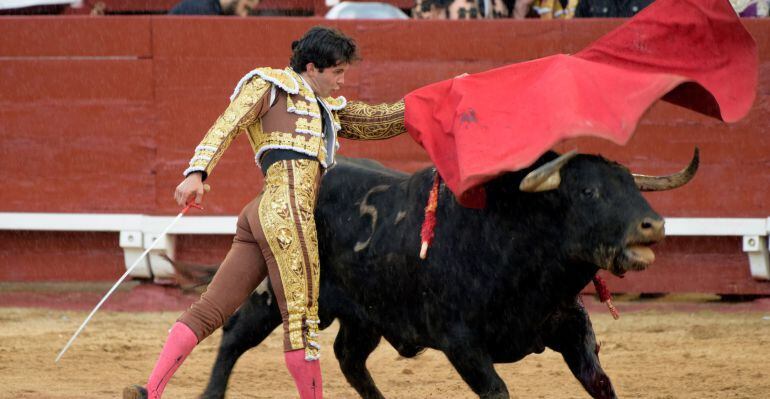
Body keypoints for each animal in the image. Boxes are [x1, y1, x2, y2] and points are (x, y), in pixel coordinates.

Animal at [194, 151, 696, 399]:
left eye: (631, 186)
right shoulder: (462, 344)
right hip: (276, 292)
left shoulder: (571, 327)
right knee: (233, 336)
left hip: (366, 315)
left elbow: (600, 383)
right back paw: (209, 394)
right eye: (589, 192)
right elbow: (497, 391)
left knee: (349, 358)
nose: (653, 225)